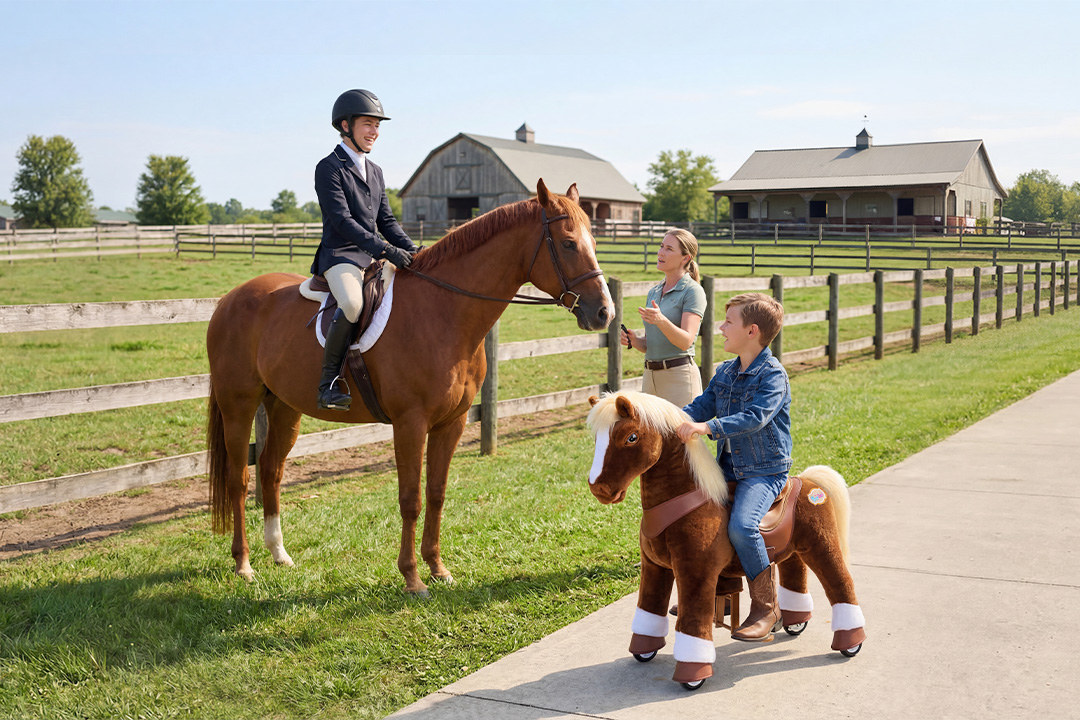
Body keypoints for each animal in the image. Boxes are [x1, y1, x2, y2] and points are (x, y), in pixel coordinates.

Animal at [205, 179, 614, 595]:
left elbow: (436, 493)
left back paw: (279, 554)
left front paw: (438, 567)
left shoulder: (452, 423)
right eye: (568, 243)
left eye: (593, 241)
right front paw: (412, 577)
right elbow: (410, 499)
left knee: (271, 470)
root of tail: (230, 299)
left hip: (284, 407)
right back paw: (243, 564)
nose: (604, 313)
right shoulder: (410, 423)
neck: (444, 311)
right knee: (239, 480)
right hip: (238, 405)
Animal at [585, 390, 866, 690]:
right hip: (791, 552)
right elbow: (648, 608)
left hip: (822, 545)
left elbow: (693, 622)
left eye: (631, 437)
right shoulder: (655, 569)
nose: (599, 489)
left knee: (841, 583)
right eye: (597, 438)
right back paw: (794, 622)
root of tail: (808, 482)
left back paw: (850, 641)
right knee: (794, 576)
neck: (684, 500)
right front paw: (644, 649)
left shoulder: (695, 574)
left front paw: (692, 675)